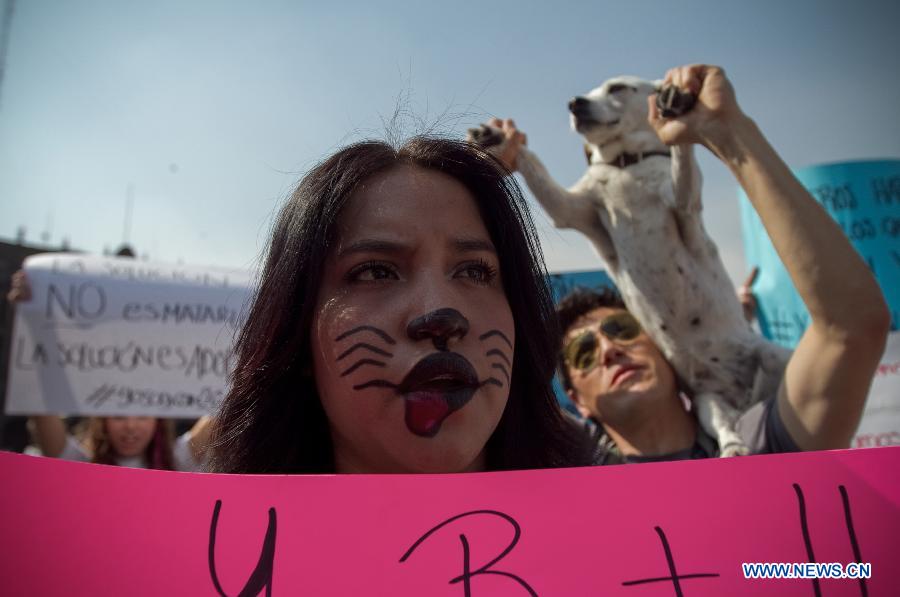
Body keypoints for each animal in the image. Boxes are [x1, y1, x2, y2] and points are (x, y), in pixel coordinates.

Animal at [472, 75, 788, 456]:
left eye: (618, 88)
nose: (575, 103)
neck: (626, 165)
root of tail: (746, 396)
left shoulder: (683, 205)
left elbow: (683, 161)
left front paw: (674, 103)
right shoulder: (575, 210)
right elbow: (539, 173)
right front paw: (498, 139)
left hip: (776, 360)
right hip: (707, 402)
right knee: (726, 426)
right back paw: (733, 449)